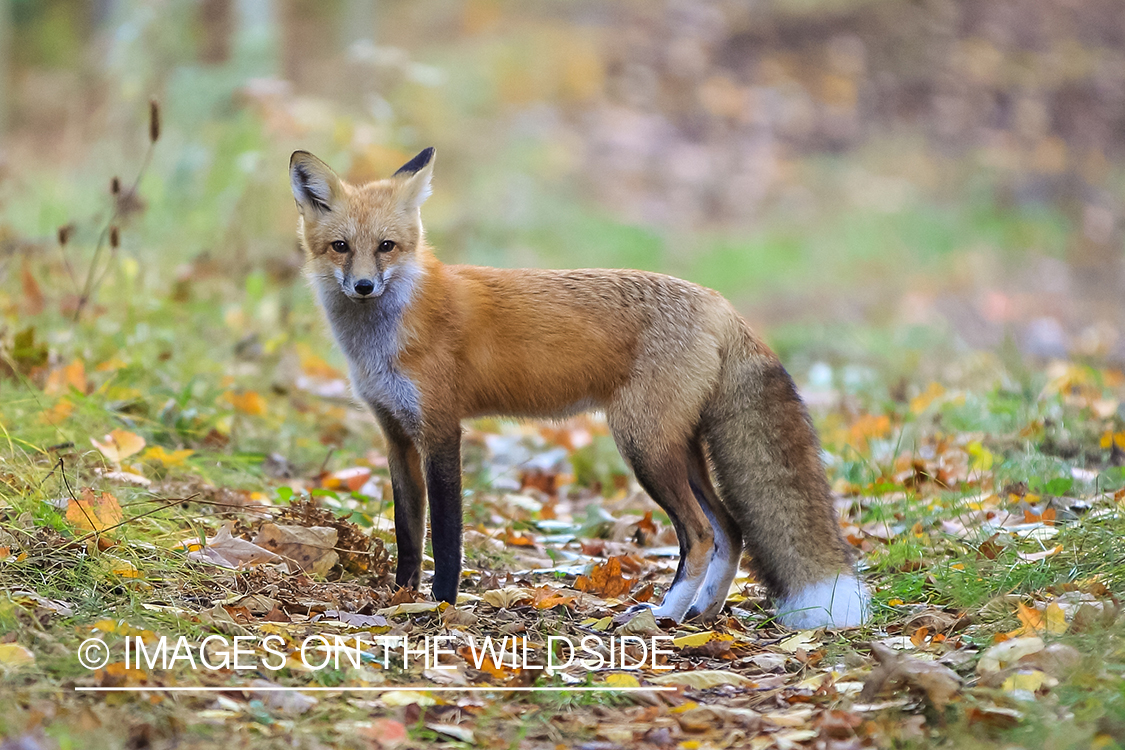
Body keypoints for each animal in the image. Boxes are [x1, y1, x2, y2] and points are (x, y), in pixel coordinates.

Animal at [290, 146, 868, 629]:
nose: (364, 286)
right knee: (732, 529)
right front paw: (401, 600)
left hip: (643, 447)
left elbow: (448, 540)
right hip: (677, 449)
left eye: (387, 247)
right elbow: (408, 535)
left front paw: (440, 608)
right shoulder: (397, 436)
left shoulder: (440, 432)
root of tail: (719, 303)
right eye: (341, 247)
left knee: (701, 535)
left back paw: (661, 616)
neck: (389, 332)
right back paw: (700, 614)